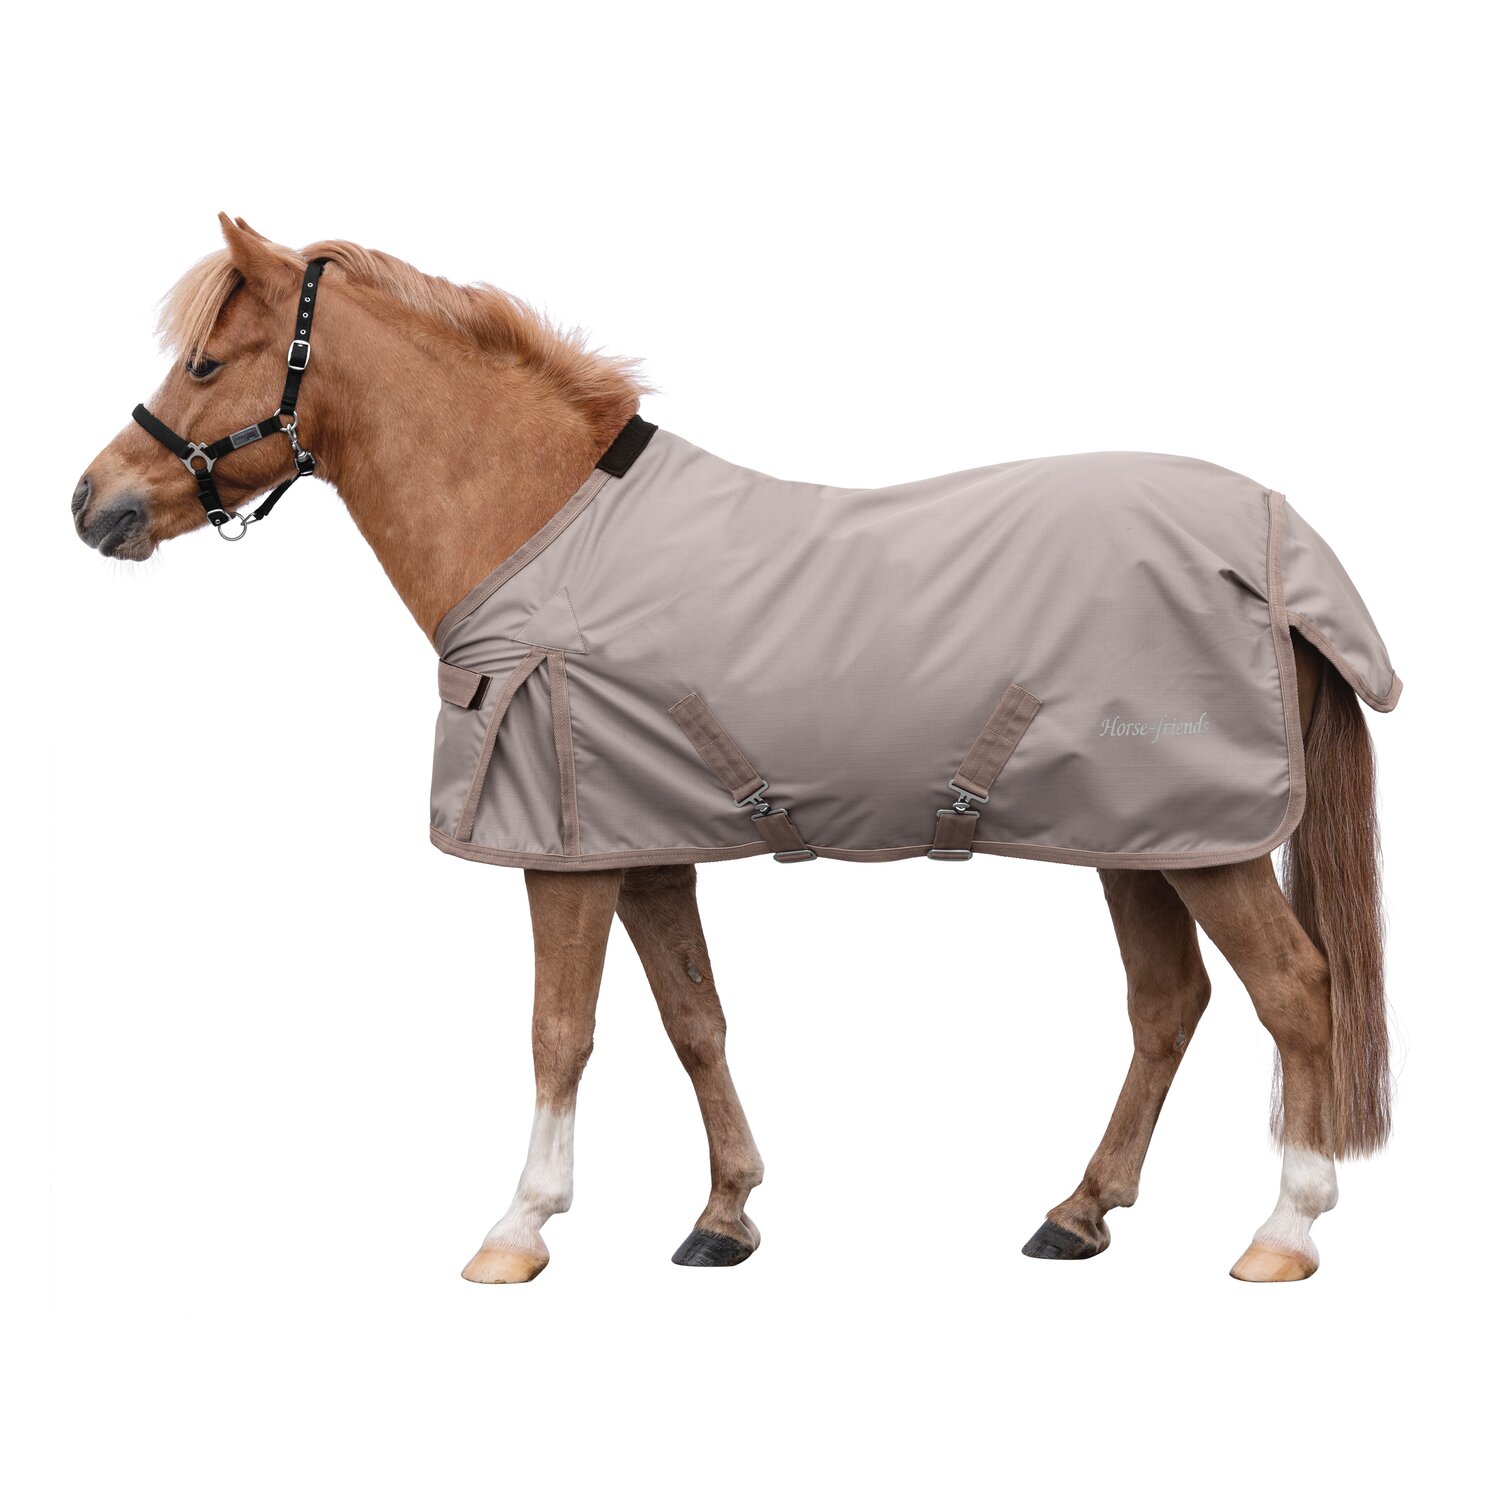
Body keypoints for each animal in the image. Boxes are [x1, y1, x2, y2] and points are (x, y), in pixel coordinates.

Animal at [72, 215, 1397, 1284]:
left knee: (1296, 989)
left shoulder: (566, 858)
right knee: (1169, 1005)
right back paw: (1078, 1214)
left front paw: (519, 1228)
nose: (93, 504)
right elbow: (693, 1020)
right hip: (1146, 840)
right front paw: (724, 1218)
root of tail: (1277, 542)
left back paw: (1285, 1231)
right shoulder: (647, 847)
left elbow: (561, 1033)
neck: (543, 531)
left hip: (1210, 845)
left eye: (204, 362)